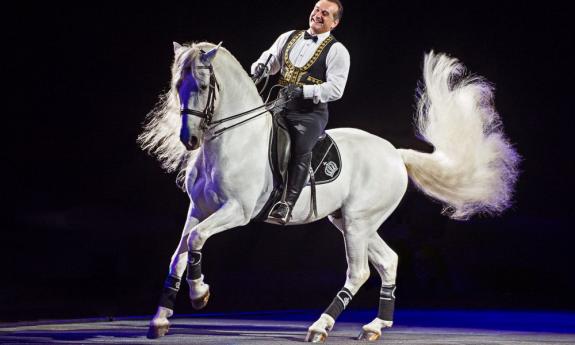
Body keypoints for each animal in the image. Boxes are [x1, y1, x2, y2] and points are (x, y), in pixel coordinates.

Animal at [137, 41, 520, 342]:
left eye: (203, 84)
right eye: (177, 84)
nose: (189, 140)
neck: (233, 139)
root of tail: (396, 154)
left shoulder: (236, 210)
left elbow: (197, 240)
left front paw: (200, 294)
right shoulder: (198, 209)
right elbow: (181, 252)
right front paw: (161, 319)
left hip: (357, 223)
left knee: (360, 272)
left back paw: (320, 326)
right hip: (353, 222)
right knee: (389, 261)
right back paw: (375, 327)